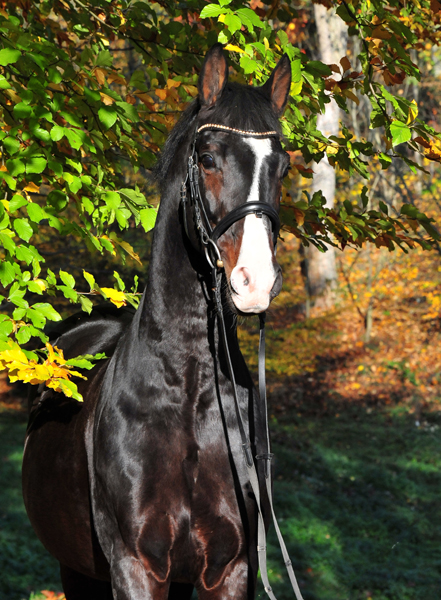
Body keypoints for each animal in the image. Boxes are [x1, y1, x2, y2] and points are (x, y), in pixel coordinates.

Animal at [23, 43, 292, 600]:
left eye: (282, 166)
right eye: (207, 158)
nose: (254, 282)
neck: (184, 394)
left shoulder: (229, 569)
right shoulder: (136, 566)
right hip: (77, 571)